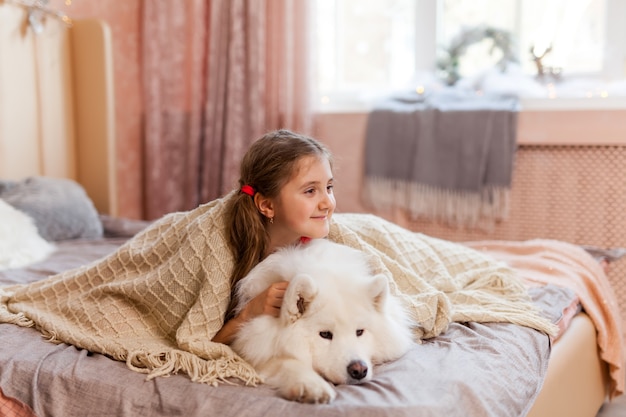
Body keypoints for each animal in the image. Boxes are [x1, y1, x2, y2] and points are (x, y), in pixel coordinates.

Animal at [229, 237, 414, 404]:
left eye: (359, 332)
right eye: (325, 334)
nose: (359, 370)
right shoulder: (257, 348)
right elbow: (289, 363)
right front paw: (312, 386)